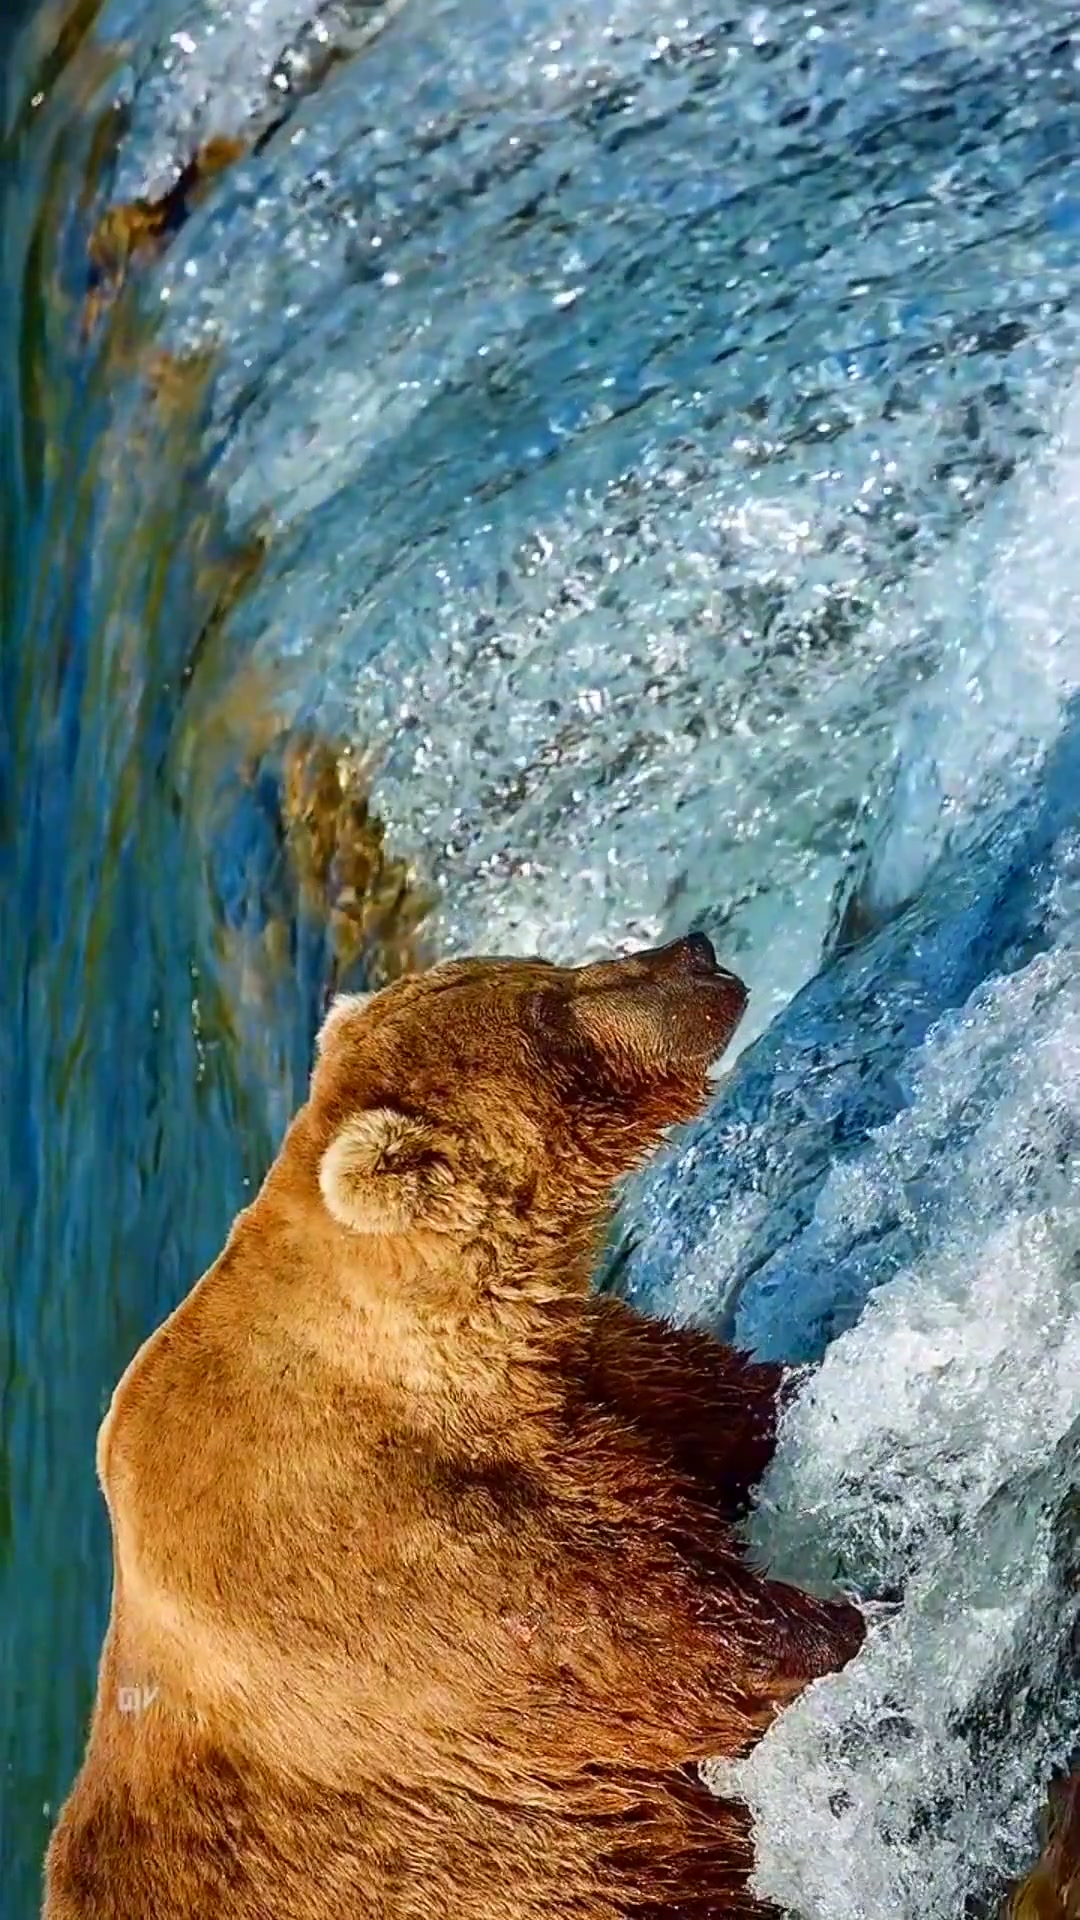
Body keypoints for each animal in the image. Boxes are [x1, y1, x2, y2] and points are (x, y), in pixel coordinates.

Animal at [43, 933, 864, 1920]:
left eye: (539, 967)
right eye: (547, 1012)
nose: (693, 953)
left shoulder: (582, 1386)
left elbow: (728, 1410)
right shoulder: (408, 1570)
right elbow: (677, 1648)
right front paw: (843, 1622)